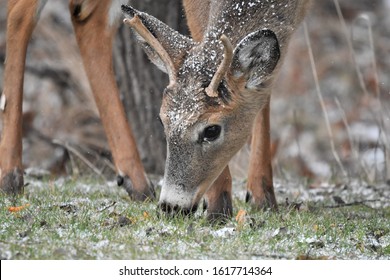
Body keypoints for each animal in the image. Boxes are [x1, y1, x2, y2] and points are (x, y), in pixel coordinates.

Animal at [0, 0, 310, 221]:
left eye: (212, 130)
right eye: (161, 122)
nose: (171, 206)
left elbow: (265, 90)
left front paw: (262, 195)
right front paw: (218, 206)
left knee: (88, 18)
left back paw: (136, 183)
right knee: (20, 12)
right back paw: (10, 176)